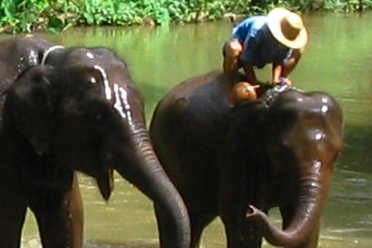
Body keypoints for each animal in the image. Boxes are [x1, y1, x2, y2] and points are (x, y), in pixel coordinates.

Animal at [150, 70, 344, 248]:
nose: (253, 211)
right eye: (279, 151)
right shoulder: (236, 151)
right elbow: (239, 222)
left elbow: (307, 229)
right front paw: (248, 215)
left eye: (337, 154)